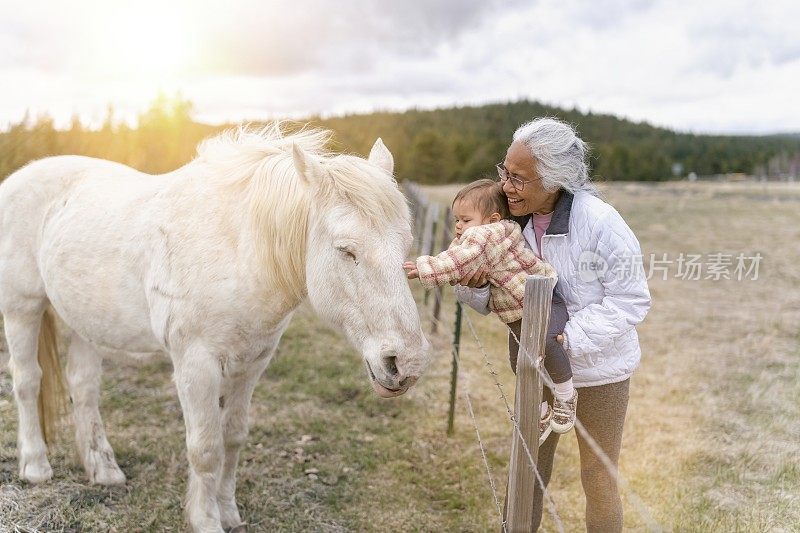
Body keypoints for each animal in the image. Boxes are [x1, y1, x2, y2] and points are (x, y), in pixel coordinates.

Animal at [0, 123, 432, 528]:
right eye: (346, 250)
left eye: (405, 245)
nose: (405, 364)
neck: (237, 249)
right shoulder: (196, 366)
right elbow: (206, 448)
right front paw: (206, 520)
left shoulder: (251, 364)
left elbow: (233, 438)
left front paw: (229, 512)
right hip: (22, 308)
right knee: (27, 380)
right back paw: (36, 466)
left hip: (86, 322)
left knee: (84, 387)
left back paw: (104, 470)